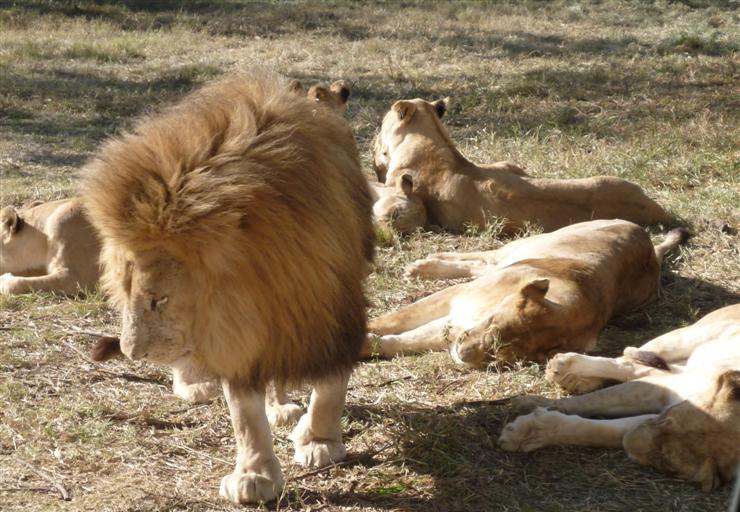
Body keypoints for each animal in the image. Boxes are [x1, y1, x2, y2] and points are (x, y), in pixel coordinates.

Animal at [82, 72, 374, 504]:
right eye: (123, 294)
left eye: (159, 299)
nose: (132, 353)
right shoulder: (233, 333)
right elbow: (244, 415)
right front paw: (254, 475)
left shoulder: (334, 307)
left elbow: (330, 387)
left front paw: (318, 440)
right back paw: (198, 384)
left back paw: (283, 408)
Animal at [365, 220, 687, 365]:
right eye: (493, 327)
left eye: (500, 355)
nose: (462, 355)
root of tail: (653, 251)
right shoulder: (455, 301)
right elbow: (392, 321)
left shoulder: (455, 324)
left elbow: (404, 341)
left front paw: (367, 345)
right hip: (532, 242)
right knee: (484, 255)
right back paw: (423, 265)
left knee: (481, 265)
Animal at [499, 304, 740, 491]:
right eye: (667, 420)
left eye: (665, 464)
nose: (629, 444)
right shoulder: (668, 391)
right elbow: (592, 401)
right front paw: (532, 407)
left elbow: (598, 432)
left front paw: (528, 432)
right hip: (688, 337)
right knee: (629, 363)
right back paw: (566, 370)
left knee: (644, 369)